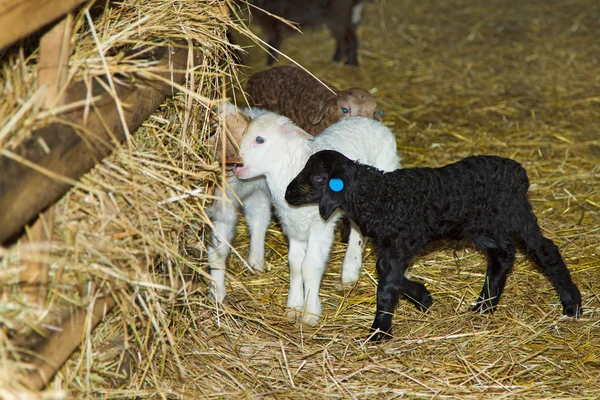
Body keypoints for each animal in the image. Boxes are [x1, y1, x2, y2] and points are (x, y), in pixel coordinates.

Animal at [232, 111, 400, 324]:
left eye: (259, 139)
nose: (236, 166)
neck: (292, 168)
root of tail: (370, 121)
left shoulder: (320, 227)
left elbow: (310, 267)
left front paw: (310, 313)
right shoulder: (293, 225)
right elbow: (295, 264)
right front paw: (294, 306)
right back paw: (350, 270)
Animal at [284, 150, 580, 340]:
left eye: (318, 178)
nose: (288, 194)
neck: (378, 196)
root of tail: (519, 173)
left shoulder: (401, 242)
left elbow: (387, 285)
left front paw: (379, 331)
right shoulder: (392, 245)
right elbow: (385, 271)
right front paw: (423, 297)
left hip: (515, 214)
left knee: (546, 250)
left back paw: (572, 305)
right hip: (480, 226)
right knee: (502, 256)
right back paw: (484, 306)